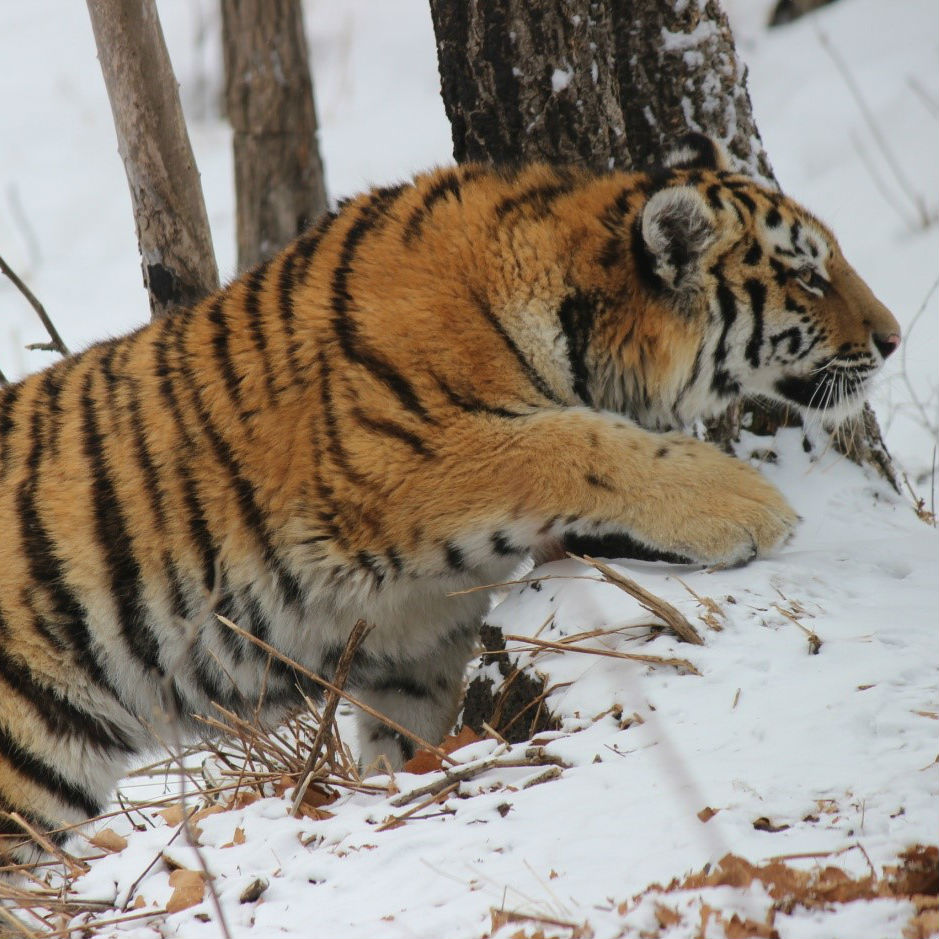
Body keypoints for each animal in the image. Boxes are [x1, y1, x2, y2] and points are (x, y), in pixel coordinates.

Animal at [0, 132, 904, 860]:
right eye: (807, 275)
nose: (894, 338)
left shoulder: (409, 624)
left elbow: (406, 724)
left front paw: (403, 783)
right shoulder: (403, 461)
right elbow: (576, 442)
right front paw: (747, 506)